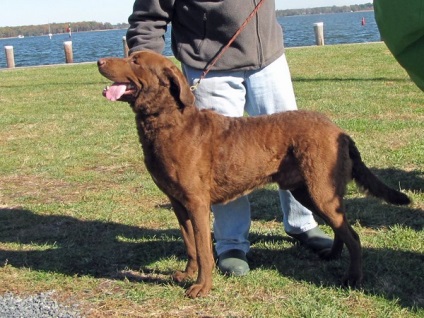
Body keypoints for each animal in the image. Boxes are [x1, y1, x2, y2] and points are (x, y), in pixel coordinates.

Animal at [97, 51, 410, 298]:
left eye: (135, 61)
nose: (99, 61)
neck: (168, 123)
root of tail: (339, 130)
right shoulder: (178, 203)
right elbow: (190, 246)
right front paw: (187, 275)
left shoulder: (197, 203)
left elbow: (204, 249)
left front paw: (202, 287)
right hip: (307, 190)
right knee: (339, 228)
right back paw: (332, 255)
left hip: (321, 190)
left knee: (352, 235)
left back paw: (352, 278)